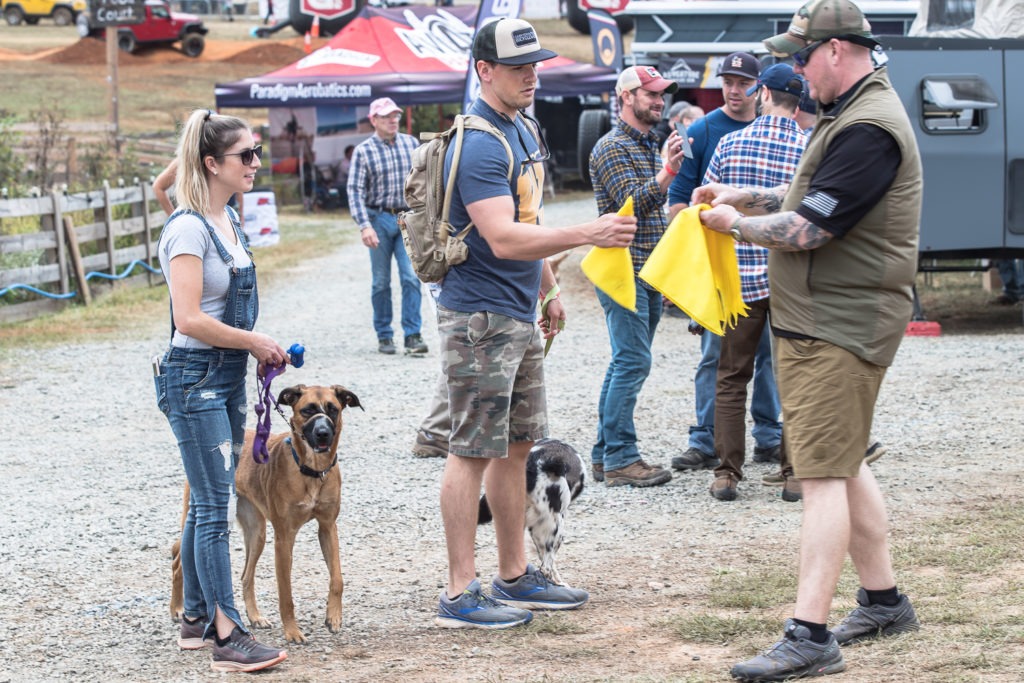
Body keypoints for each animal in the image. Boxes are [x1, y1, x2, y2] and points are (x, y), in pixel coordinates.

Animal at [174, 385, 366, 647]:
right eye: (307, 410)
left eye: (333, 409)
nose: (323, 434)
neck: (311, 471)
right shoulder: (284, 538)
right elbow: (286, 593)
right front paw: (292, 632)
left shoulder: (327, 527)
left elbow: (337, 578)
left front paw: (333, 617)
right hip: (201, 515)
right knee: (177, 556)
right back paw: (177, 609)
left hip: (257, 533)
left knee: (245, 576)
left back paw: (255, 617)